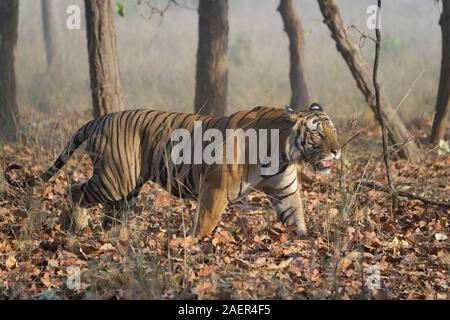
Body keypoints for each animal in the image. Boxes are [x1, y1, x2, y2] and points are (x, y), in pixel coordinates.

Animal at [4, 104, 342, 239]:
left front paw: (305, 240)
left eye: (334, 130)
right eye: (318, 133)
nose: (338, 150)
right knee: (73, 190)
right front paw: (193, 245)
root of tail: (99, 118)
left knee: (112, 214)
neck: (284, 153)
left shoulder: (286, 190)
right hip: (114, 179)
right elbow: (205, 222)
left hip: (127, 186)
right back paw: (75, 226)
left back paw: (115, 236)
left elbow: (297, 218)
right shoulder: (215, 188)